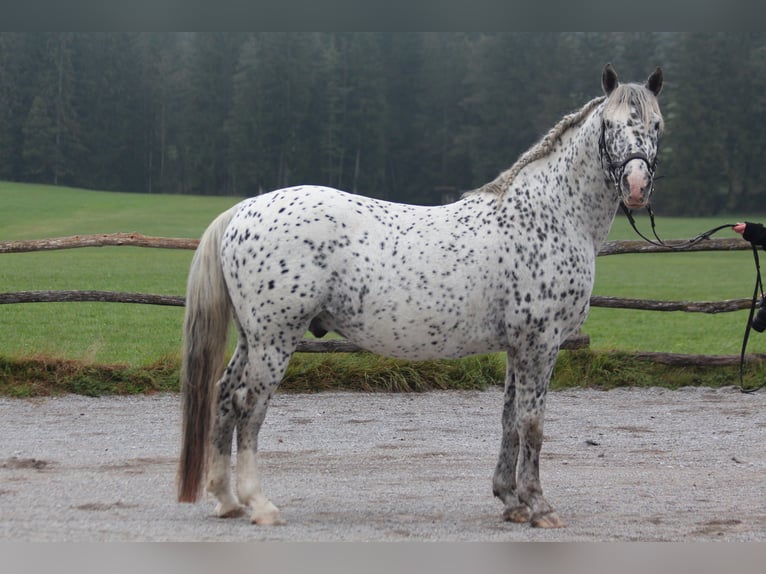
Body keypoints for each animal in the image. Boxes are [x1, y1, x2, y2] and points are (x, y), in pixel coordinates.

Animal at [177, 64, 664, 532]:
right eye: (610, 123)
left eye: (657, 125)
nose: (637, 185)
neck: (550, 215)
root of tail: (243, 210)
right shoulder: (540, 343)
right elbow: (533, 423)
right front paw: (539, 506)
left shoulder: (517, 346)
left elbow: (509, 420)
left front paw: (510, 501)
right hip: (274, 340)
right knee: (249, 407)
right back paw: (259, 504)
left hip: (251, 338)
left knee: (224, 397)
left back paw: (226, 500)